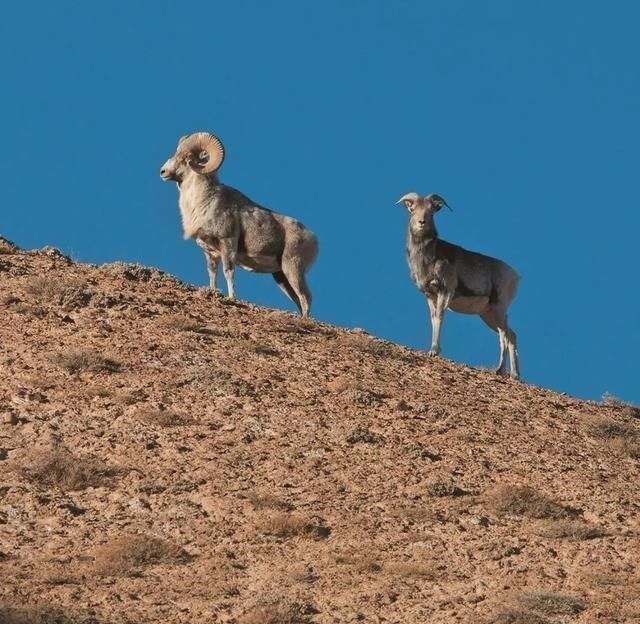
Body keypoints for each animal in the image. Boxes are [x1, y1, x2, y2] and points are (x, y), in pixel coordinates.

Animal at [161, 132, 318, 316]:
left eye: (188, 157)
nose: (163, 172)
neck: (203, 202)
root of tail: (313, 239)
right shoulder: (210, 253)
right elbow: (212, 274)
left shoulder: (227, 243)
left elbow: (228, 272)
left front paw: (231, 297)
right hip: (281, 277)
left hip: (292, 269)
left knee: (305, 298)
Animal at [398, 191, 524, 376]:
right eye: (413, 210)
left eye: (431, 212)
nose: (422, 222)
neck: (427, 258)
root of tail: (515, 276)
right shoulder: (430, 296)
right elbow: (433, 319)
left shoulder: (445, 291)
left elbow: (439, 317)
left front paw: (434, 351)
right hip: (488, 314)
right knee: (511, 335)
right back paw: (514, 375)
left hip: (498, 309)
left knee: (504, 335)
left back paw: (500, 370)